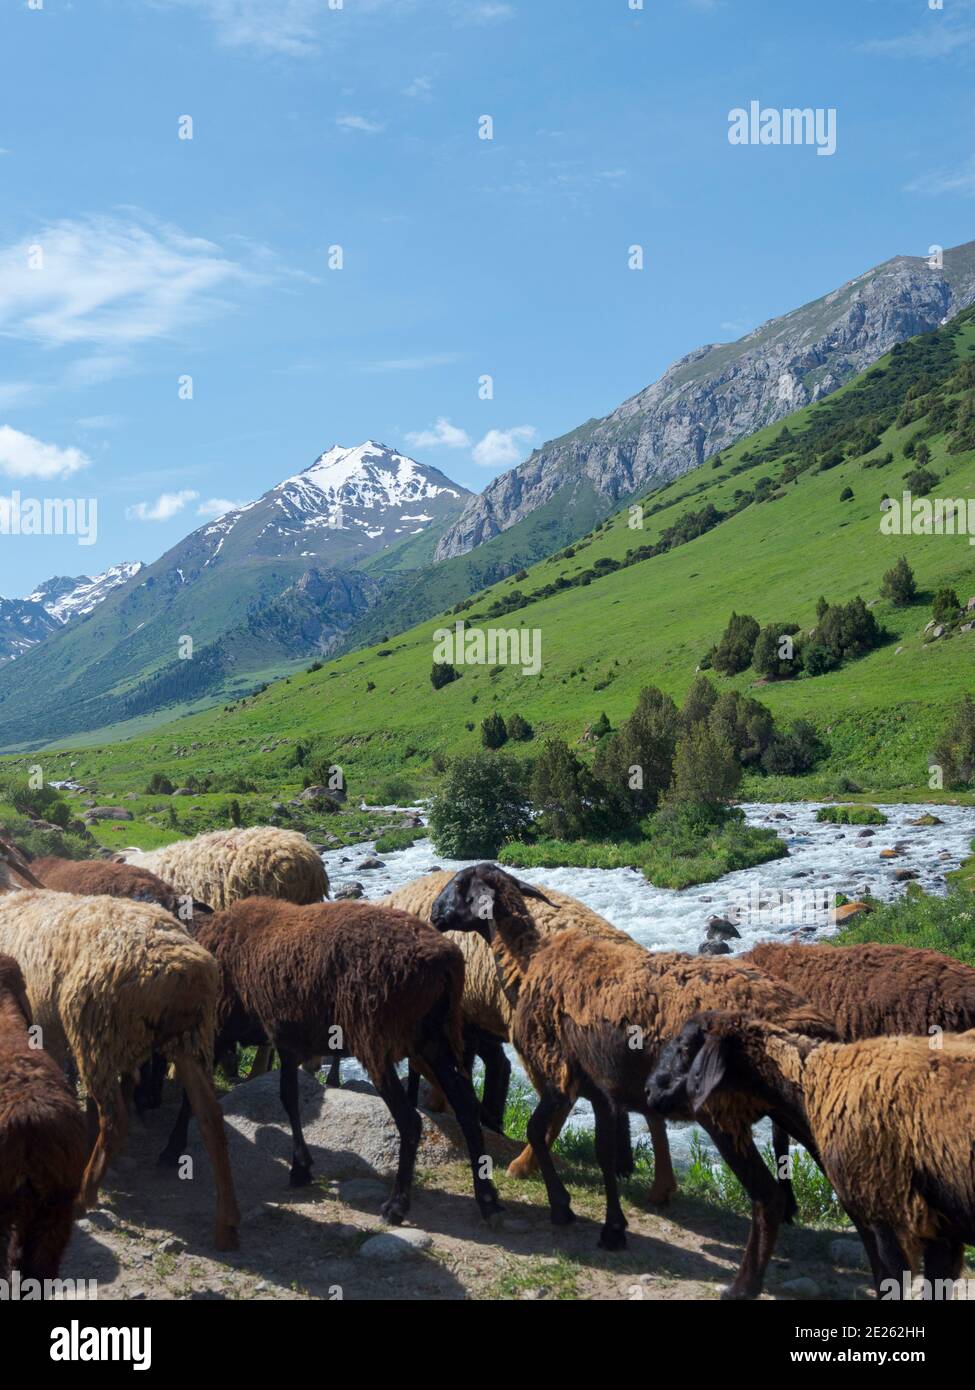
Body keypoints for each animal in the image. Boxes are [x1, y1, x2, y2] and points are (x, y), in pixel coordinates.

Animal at [159, 896, 502, 1227]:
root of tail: (446, 959)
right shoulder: (285, 1038)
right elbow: (288, 1097)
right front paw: (301, 1167)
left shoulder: (219, 1028)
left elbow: (195, 1098)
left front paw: (172, 1147)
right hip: (435, 1041)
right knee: (467, 1110)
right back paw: (487, 1200)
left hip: (377, 1040)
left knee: (411, 1121)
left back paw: (396, 1206)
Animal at [430, 863, 833, 1284]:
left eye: (459, 883)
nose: (433, 914)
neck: (527, 963)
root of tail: (805, 1019)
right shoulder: (602, 1092)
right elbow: (605, 1154)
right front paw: (614, 1227)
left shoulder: (559, 1077)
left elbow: (537, 1131)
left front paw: (563, 1207)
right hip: (799, 1108)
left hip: (723, 1111)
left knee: (768, 1196)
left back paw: (745, 1282)